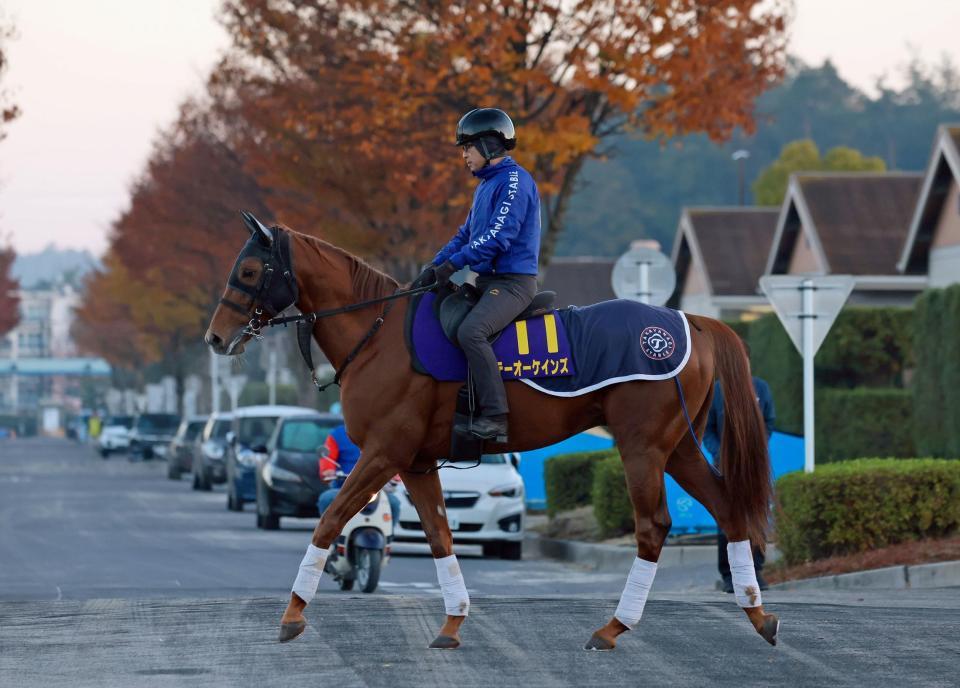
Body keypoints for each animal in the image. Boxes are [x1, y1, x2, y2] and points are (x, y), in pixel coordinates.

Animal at [204, 218, 780, 652]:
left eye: (249, 269)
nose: (215, 338)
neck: (379, 333)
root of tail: (689, 322)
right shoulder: (414, 462)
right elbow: (439, 535)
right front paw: (453, 621)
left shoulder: (382, 453)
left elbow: (328, 523)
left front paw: (292, 614)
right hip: (679, 448)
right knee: (728, 508)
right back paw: (757, 614)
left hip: (643, 448)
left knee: (653, 527)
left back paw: (615, 626)